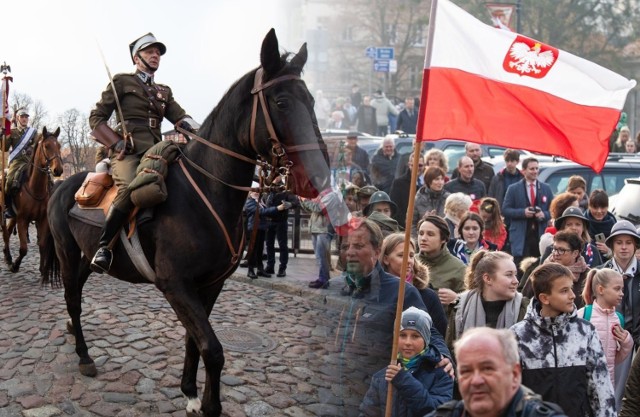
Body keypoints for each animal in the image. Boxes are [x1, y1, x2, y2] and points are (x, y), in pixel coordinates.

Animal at [2, 127, 62, 272]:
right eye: (47, 146)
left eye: (59, 146)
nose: (58, 170)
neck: (36, 188)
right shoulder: (22, 219)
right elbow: (23, 248)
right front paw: (15, 265)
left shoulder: (43, 220)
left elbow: (42, 244)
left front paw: (42, 268)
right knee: (5, 233)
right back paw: (9, 259)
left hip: (13, 216)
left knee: (7, 231)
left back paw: (7, 256)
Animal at [40, 30, 336, 416]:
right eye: (282, 102)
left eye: (311, 100)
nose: (319, 174)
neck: (206, 193)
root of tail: (62, 185)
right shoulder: (176, 285)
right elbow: (213, 348)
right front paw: (209, 404)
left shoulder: (209, 285)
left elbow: (194, 340)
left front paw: (190, 392)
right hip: (65, 251)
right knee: (72, 298)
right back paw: (84, 356)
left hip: (85, 259)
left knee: (74, 291)